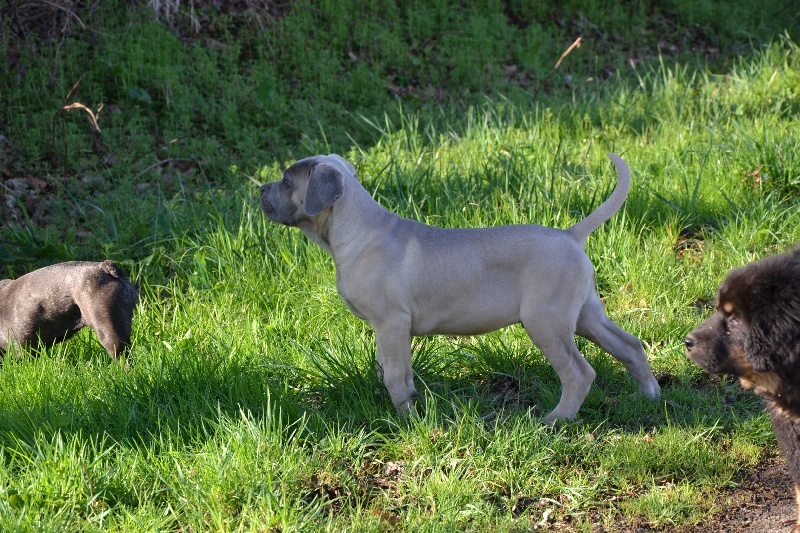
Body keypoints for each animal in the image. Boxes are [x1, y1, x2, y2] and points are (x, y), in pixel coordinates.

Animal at [260, 151, 660, 420]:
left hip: (546, 321)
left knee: (579, 373)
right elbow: (387, 369)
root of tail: (570, 235)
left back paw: (555, 420)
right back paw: (649, 395)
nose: (260, 189)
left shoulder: (392, 324)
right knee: (630, 345)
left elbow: (395, 376)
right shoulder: (386, 331)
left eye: (286, 182)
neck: (353, 228)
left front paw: (407, 421)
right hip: (585, 315)